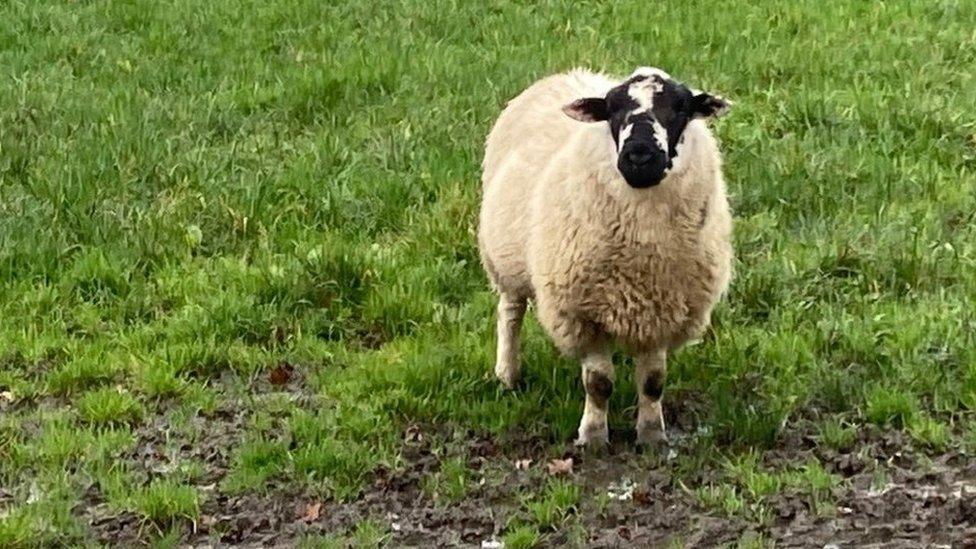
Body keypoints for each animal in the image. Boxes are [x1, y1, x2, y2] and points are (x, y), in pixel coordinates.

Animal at [476, 67, 736, 446]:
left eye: (680, 107)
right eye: (612, 110)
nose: (639, 156)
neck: (643, 253)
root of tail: (569, 73)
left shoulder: (662, 309)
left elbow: (653, 381)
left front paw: (651, 435)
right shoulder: (583, 312)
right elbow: (599, 384)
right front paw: (594, 437)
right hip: (505, 256)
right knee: (510, 313)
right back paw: (508, 375)